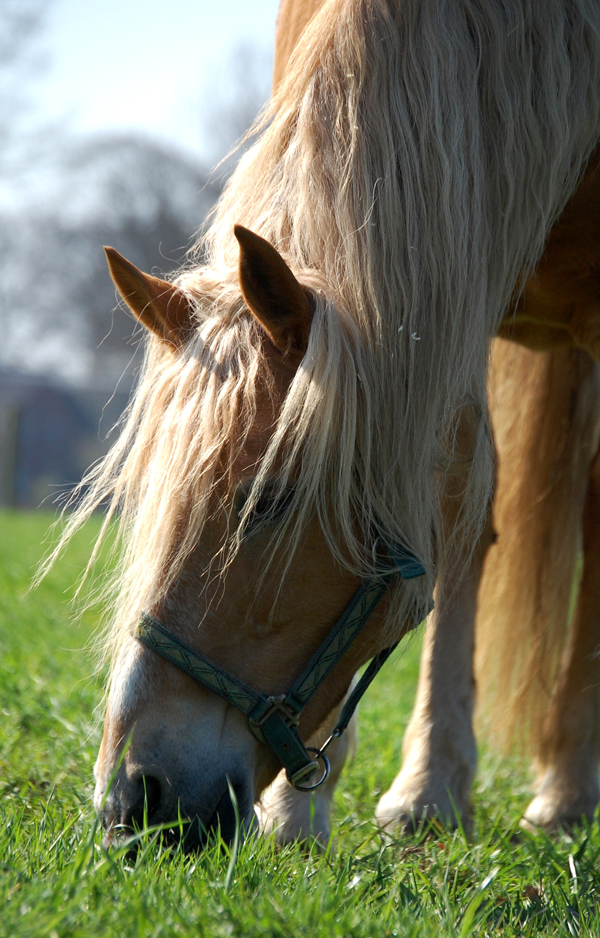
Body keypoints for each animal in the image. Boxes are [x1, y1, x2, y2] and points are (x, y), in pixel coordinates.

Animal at [48, 1, 600, 848]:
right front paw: (336, 801)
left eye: (264, 501)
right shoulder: (448, 291)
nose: (134, 799)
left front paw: (494, 787)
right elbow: (457, 507)